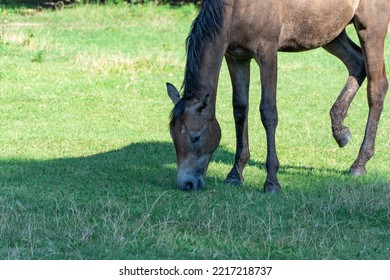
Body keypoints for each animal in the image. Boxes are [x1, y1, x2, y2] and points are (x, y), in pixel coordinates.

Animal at [166, 0, 388, 192]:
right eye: (173, 135)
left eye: (196, 137)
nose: (187, 184)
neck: (238, 7)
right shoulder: (236, 57)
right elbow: (240, 109)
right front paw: (235, 174)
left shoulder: (267, 53)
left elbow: (268, 112)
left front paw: (272, 182)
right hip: (331, 32)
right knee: (356, 63)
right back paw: (340, 132)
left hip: (370, 28)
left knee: (376, 88)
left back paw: (360, 163)